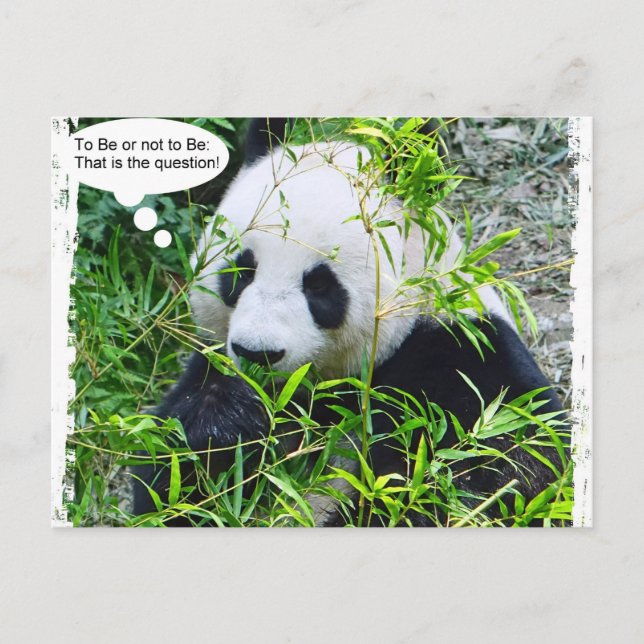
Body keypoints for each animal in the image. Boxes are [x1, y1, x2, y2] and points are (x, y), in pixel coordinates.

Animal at [133, 119, 568, 527]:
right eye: (241, 270)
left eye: (319, 285)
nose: (258, 353)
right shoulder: (212, 365)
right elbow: (170, 474)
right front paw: (229, 419)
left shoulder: (463, 357)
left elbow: (486, 472)